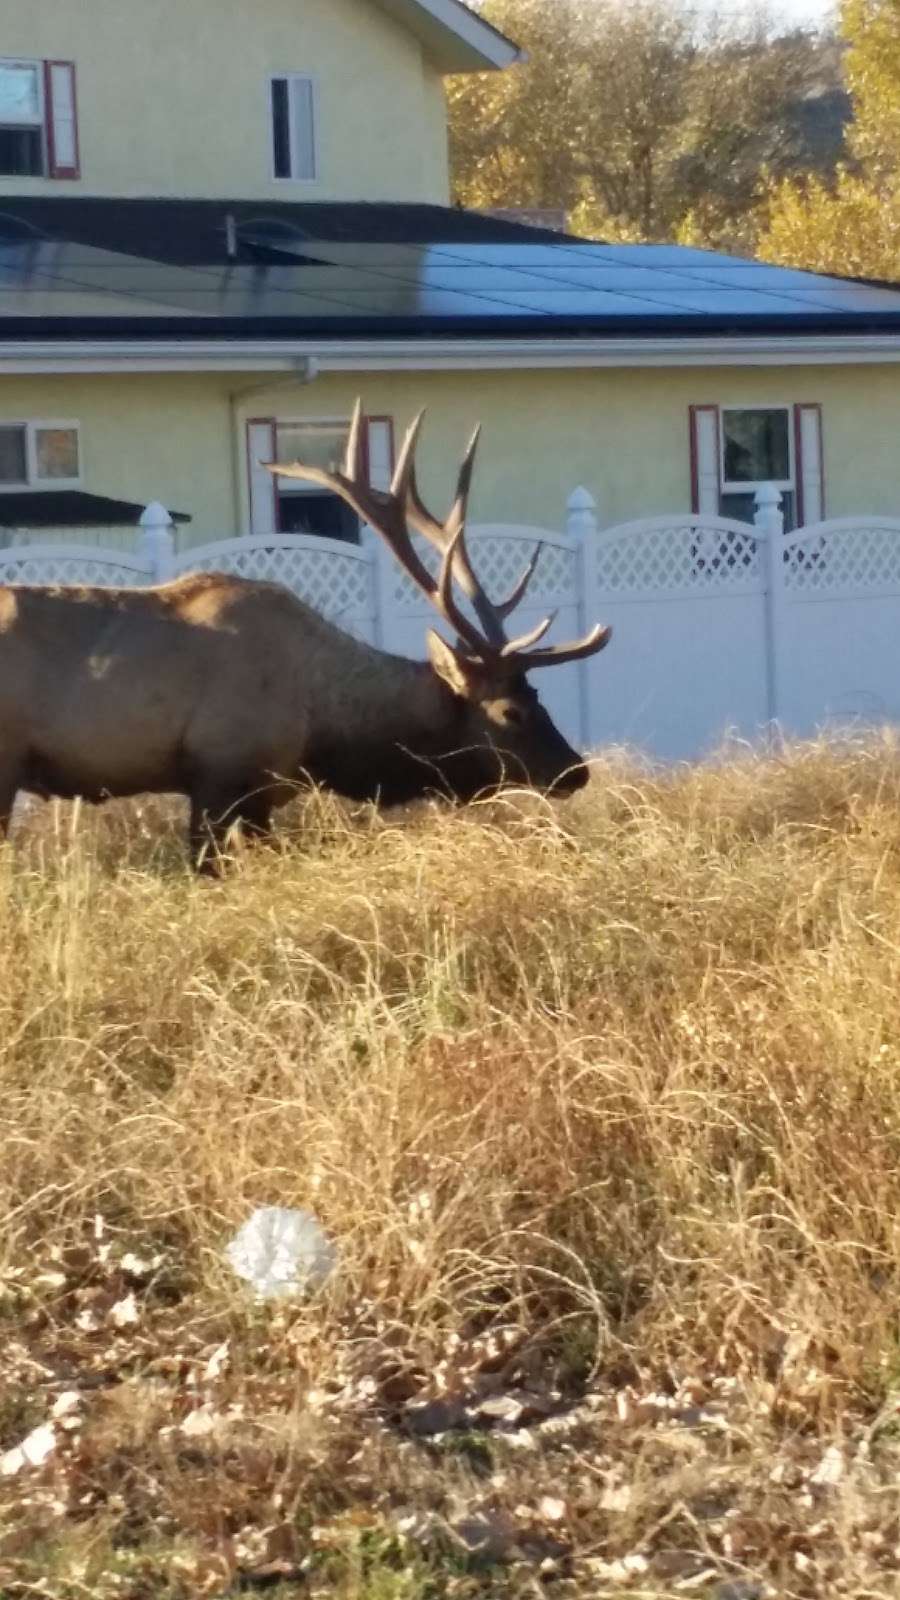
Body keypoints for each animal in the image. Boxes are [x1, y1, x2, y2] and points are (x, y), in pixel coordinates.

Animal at [0, 406, 608, 870]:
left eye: (538, 695)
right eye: (511, 712)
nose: (576, 770)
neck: (324, 729)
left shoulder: (262, 795)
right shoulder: (218, 774)